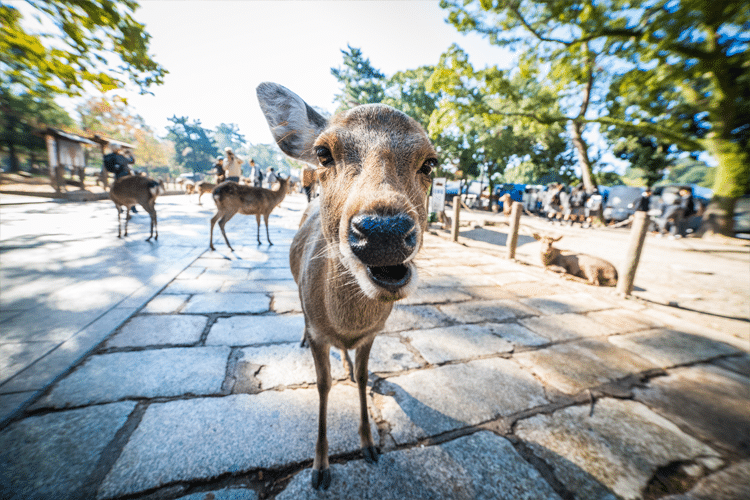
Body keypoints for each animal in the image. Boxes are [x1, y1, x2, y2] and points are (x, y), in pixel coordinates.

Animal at [258, 81, 438, 488]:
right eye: (323, 153)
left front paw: (370, 445)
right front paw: (320, 468)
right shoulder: (320, 332)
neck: (345, 324)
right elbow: (322, 385)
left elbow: (363, 376)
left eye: (430, 162)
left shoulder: (373, 334)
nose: (383, 231)